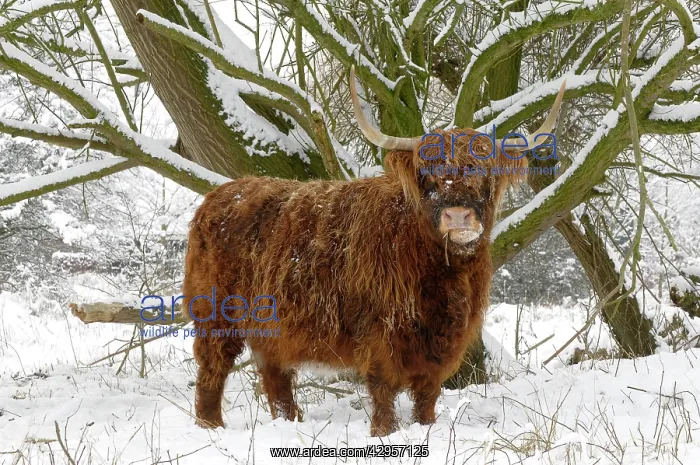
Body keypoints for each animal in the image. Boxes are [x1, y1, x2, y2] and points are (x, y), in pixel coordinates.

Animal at [183, 67, 566, 436]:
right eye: (428, 174)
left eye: (482, 170)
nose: (457, 215)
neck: (441, 272)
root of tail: (220, 194)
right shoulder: (379, 330)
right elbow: (383, 387)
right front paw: (383, 432)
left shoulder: (446, 341)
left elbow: (428, 393)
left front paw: (426, 427)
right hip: (216, 313)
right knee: (213, 367)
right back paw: (211, 427)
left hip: (270, 326)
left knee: (275, 376)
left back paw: (289, 423)